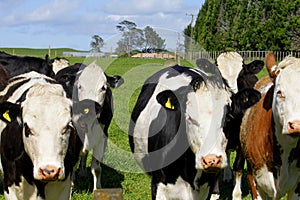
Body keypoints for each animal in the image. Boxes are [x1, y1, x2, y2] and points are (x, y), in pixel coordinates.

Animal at [54, 61, 123, 190]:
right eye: (79, 86)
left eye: (103, 87)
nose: (91, 107)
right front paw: (71, 187)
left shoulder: (102, 137)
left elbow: (96, 168)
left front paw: (97, 189)